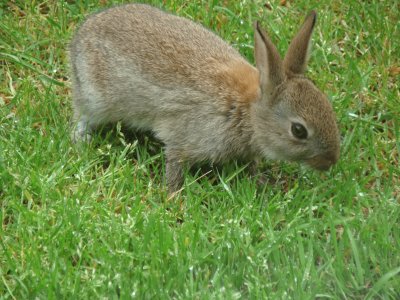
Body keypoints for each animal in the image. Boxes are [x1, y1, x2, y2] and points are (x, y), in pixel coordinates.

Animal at [70, 3, 340, 193]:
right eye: (298, 130)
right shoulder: (185, 138)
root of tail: (83, 33)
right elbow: (175, 162)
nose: (330, 162)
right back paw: (82, 143)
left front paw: (263, 182)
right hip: (96, 98)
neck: (246, 110)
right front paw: (174, 197)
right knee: (82, 118)